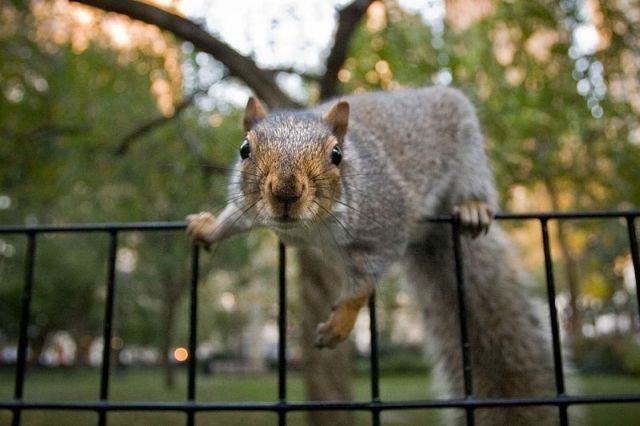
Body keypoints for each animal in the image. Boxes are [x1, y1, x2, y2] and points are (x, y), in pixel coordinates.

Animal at [188, 87, 556, 426]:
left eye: (337, 154)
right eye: (244, 149)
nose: (286, 192)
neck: (307, 228)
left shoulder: (386, 225)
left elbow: (363, 284)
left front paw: (340, 323)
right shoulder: (249, 207)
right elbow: (234, 218)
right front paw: (209, 227)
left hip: (467, 149)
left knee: (473, 182)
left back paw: (472, 207)